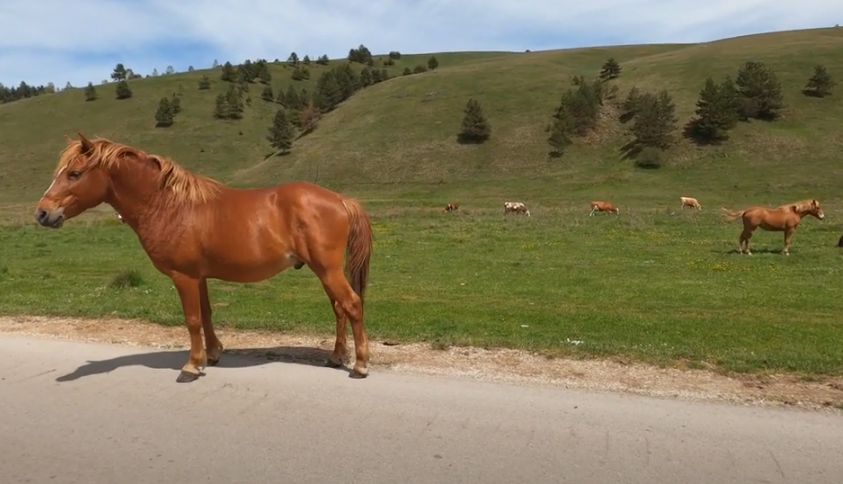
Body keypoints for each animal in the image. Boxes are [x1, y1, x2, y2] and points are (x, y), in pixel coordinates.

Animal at [34, 132, 374, 382]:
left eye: (74, 173)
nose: (42, 213)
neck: (169, 205)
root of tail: (341, 199)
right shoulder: (199, 276)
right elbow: (207, 314)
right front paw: (211, 355)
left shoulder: (183, 276)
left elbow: (192, 319)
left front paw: (191, 366)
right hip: (324, 271)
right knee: (339, 309)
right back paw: (336, 357)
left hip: (328, 269)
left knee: (352, 305)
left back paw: (359, 365)